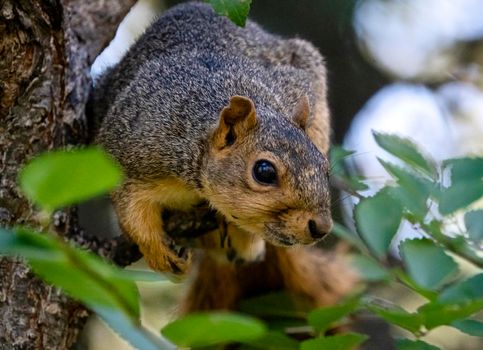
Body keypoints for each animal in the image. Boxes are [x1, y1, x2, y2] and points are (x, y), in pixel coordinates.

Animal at [89, 2, 334, 276]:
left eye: (325, 168)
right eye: (264, 171)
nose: (321, 226)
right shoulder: (130, 145)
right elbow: (131, 207)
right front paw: (159, 253)